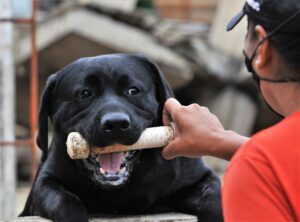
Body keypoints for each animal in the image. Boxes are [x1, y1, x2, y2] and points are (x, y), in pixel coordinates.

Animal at [20, 54, 223, 222]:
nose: (116, 123)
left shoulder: (203, 178)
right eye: (84, 93)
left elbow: (215, 198)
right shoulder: (45, 182)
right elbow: (64, 201)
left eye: (133, 90)